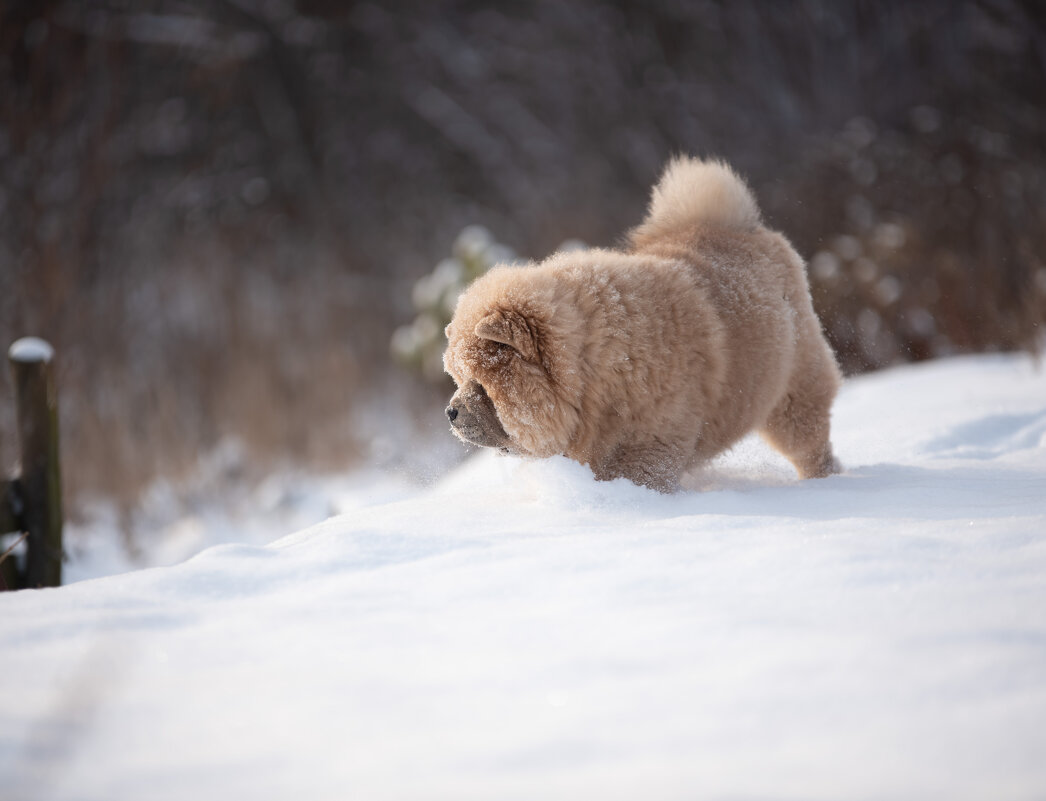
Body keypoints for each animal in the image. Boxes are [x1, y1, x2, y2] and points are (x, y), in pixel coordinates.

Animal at [441, 157, 840, 493]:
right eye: (459, 379)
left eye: (481, 383)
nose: (450, 411)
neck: (595, 370)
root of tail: (739, 226)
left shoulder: (651, 441)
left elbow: (640, 476)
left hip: (794, 386)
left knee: (809, 441)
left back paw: (823, 483)